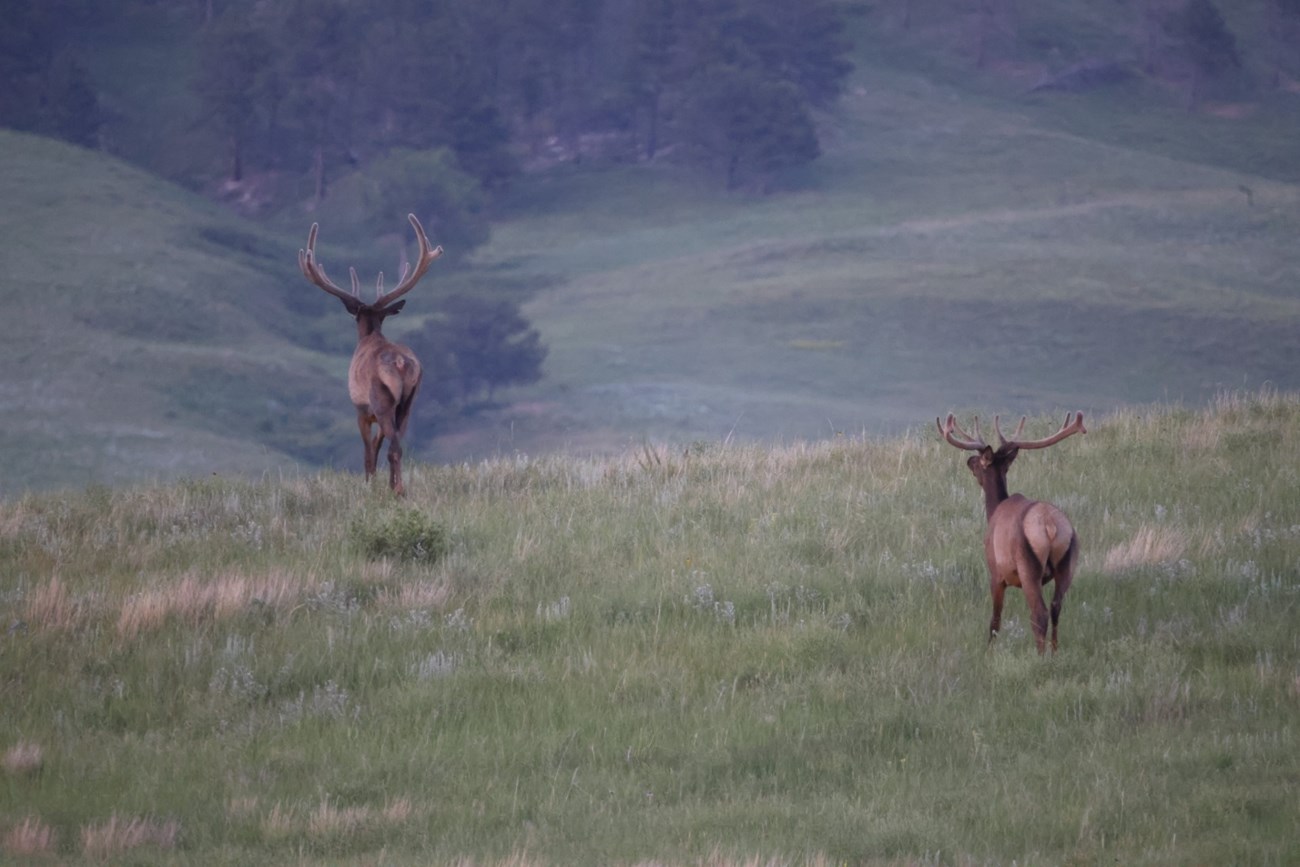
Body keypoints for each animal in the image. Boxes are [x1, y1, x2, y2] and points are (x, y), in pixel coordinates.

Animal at [297, 213, 441, 493]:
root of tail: (400, 362)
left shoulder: (361, 410)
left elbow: (367, 452)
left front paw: (369, 484)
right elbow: (376, 446)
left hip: (381, 400)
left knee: (394, 448)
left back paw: (397, 491)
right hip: (408, 402)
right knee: (398, 443)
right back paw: (398, 487)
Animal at [935, 413, 1086, 649]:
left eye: (980, 462)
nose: (968, 461)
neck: (993, 511)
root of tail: (1051, 527)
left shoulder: (996, 572)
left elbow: (995, 621)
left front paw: (988, 649)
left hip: (1028, 567)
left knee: (1039, 614)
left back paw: (1040, 654)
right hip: (1068, 563)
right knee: (1056, 609)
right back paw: (1054, 651)